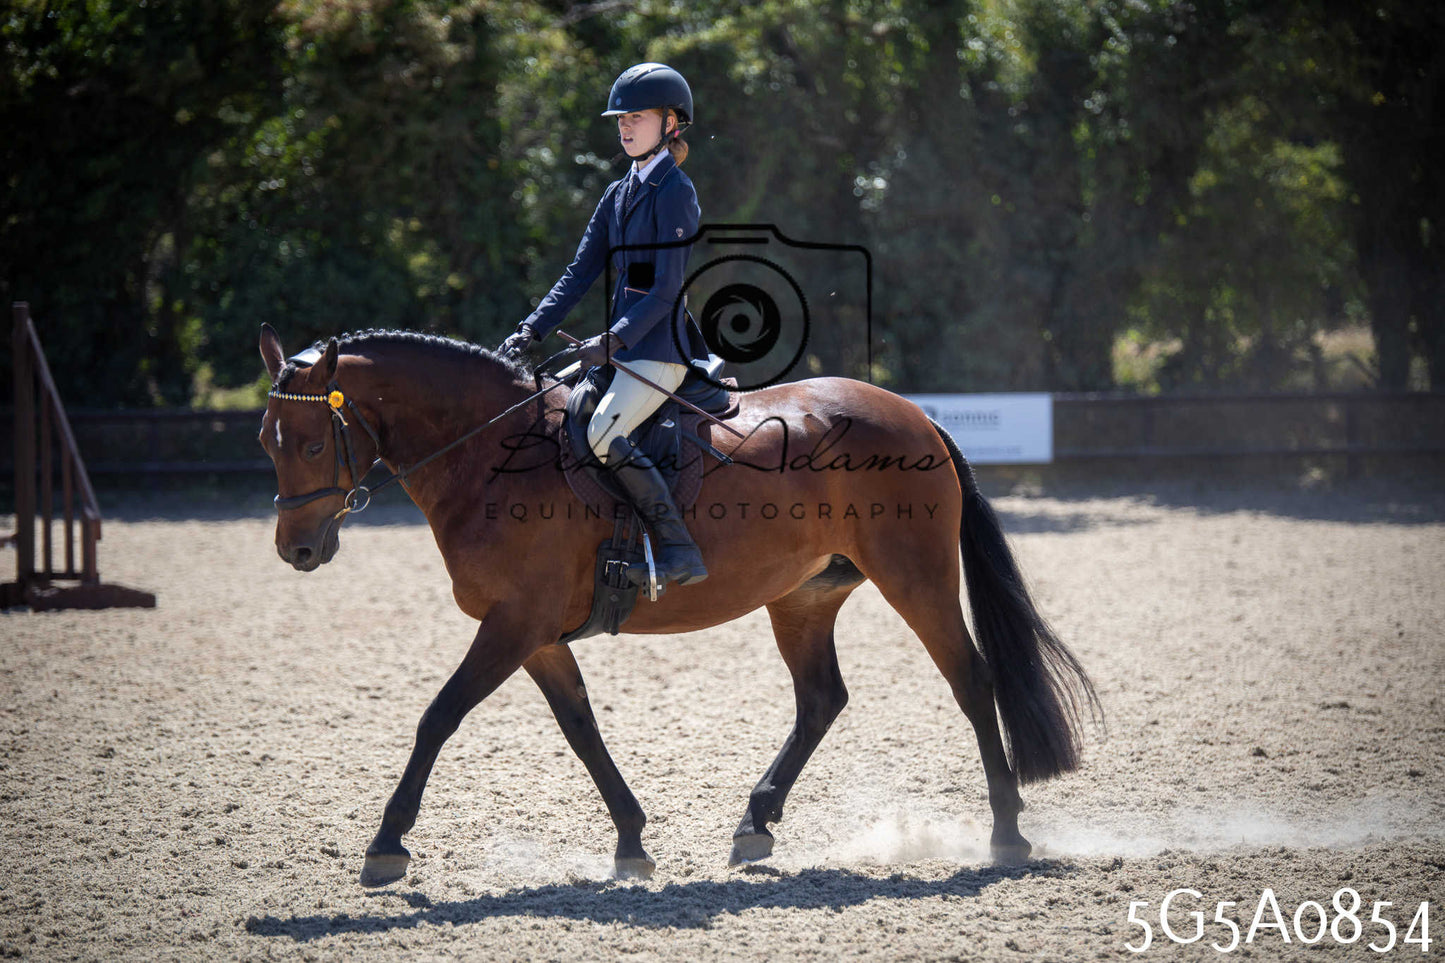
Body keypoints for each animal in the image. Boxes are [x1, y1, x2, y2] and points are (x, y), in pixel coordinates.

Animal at [257, 324, 1100, 888]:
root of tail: (916, 414)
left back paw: (1005, 835)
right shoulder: (535, 633)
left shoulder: (515, 621)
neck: (486, 457)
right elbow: (579, 727)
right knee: (821, 698)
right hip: (802, 595)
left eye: (311, 441)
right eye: (268, 439)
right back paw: (754, 824)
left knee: (972, 682)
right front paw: (630, 841)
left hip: (914, 578)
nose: (296, 549)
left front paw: (386, 843)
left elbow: (438, 715)